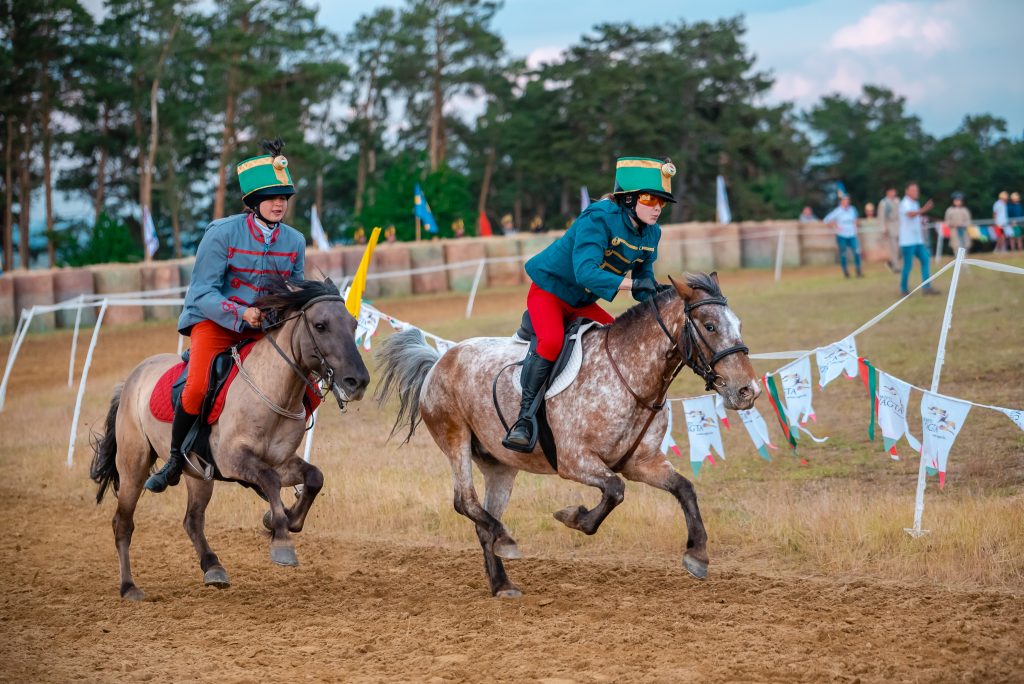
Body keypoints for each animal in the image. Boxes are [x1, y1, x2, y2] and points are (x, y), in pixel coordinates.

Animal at [88, 278, 368, 597]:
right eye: (321, 326)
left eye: (353, 324)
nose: (358, 381)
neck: (271, 388)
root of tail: (130, 381)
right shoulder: (233, 460)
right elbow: (270, 481)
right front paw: (282, 540)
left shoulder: (281, 460)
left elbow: (313, 478)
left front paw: (282, 520)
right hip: (133, 467)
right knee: (123, 523)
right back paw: (129, 586)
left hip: (198, 476)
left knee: (193, 521)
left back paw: (213, 567)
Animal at [376, 272, 761, 597]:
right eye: (710, 325)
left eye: (739, 325)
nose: (748, 391)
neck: (631, 374)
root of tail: (439, 360)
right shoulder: (575, 461)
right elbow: (614, 491)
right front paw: (574, 517)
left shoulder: (642, 463)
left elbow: (684, 489)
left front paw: (697, 554)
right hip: (454, 437)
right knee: (466, 503)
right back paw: (507, 541)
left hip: (501, 466)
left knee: (484, 519)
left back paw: (502, 582)